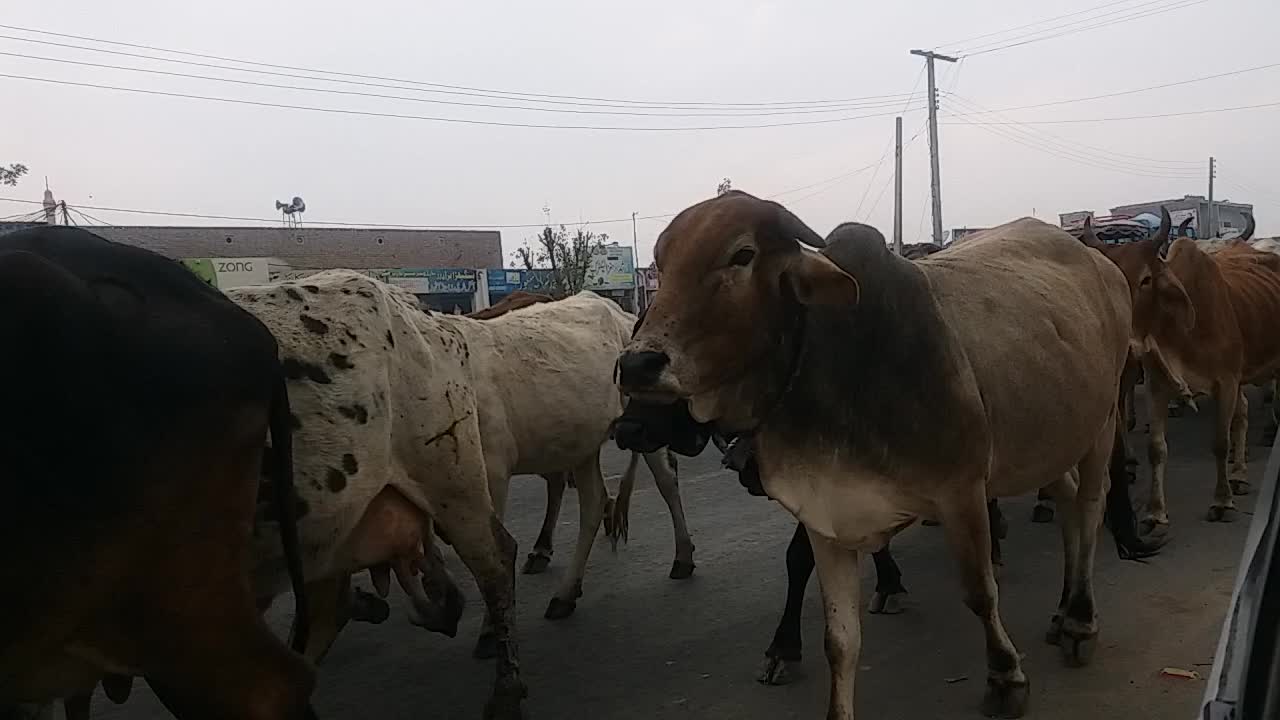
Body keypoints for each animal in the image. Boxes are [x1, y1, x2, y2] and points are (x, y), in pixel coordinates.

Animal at [616, 190, 1141, 717]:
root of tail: (1100, 262)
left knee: (1091, 505)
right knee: (1068, 503)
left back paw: (1080, 620)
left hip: (1102, 420)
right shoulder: (823, 515)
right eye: (662, 261)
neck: (831, 369)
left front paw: (1005, 679)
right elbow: (839, 639)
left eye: (742, 254)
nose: (637, 365)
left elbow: (979, 593)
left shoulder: (962, 491)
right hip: (1046, 440)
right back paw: (1062, 611)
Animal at [1095, 207, 1280, 527]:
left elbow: (1220, 442)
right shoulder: (1158, 384)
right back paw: (1239, 474)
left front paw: (1222, 501)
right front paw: (1156, 511)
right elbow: (1156, 449)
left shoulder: (1227, 382)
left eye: (1146, 279)